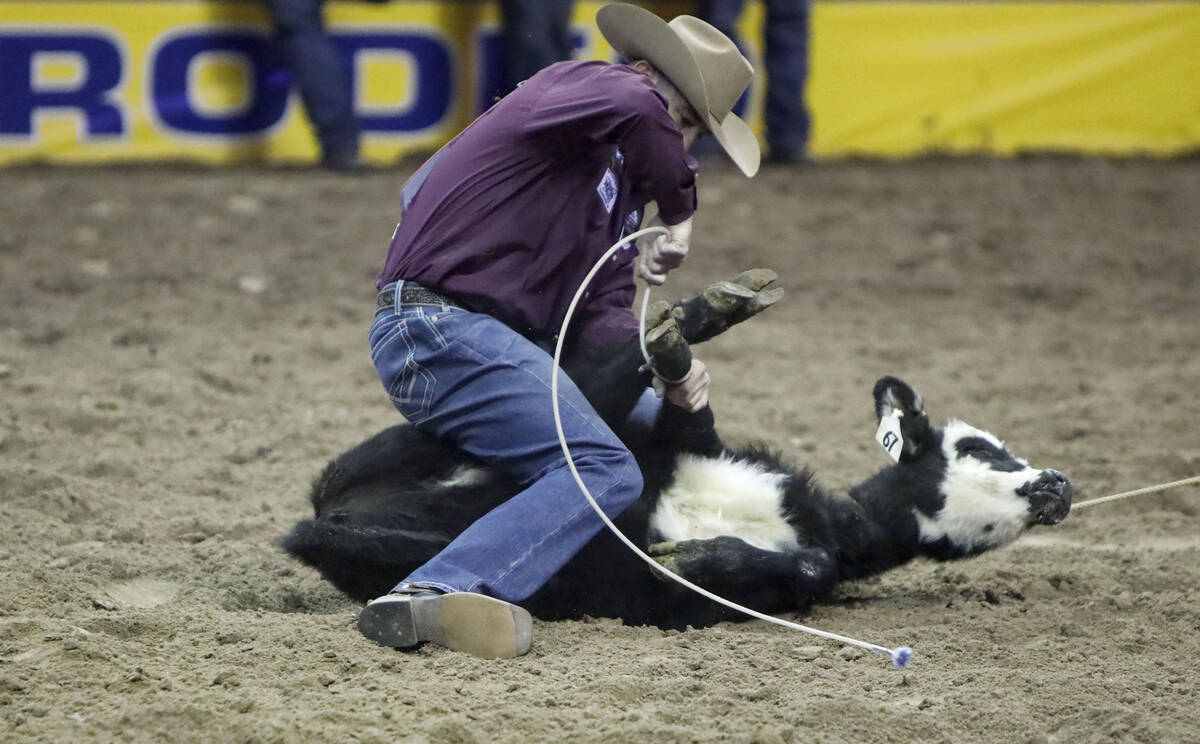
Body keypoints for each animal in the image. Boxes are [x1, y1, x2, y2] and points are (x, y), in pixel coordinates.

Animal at [285, 270, 1075, 628]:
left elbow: (804, 569)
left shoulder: (782, 588)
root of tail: (330, 511)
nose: (1057, 486)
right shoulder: (684, 444)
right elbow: (690, 419)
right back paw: (694, 317)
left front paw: (690, 557)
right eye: (982, 447)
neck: (827, 522)